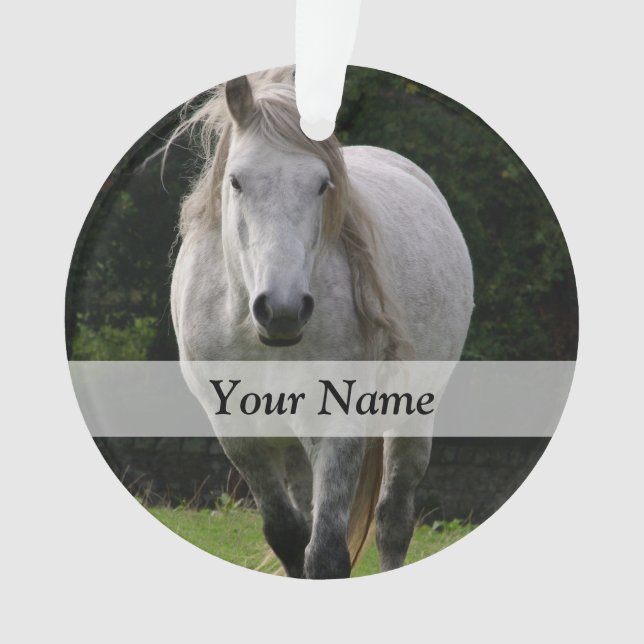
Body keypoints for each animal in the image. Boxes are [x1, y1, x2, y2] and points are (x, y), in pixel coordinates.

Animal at [169, 68, 474, 578]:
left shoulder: (342, 420)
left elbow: (328, 552)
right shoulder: (236, 431)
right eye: (236, 181)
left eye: (321, 184)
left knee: (393, 519)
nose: (283, 310)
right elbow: (289, 535)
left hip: (414, 411)